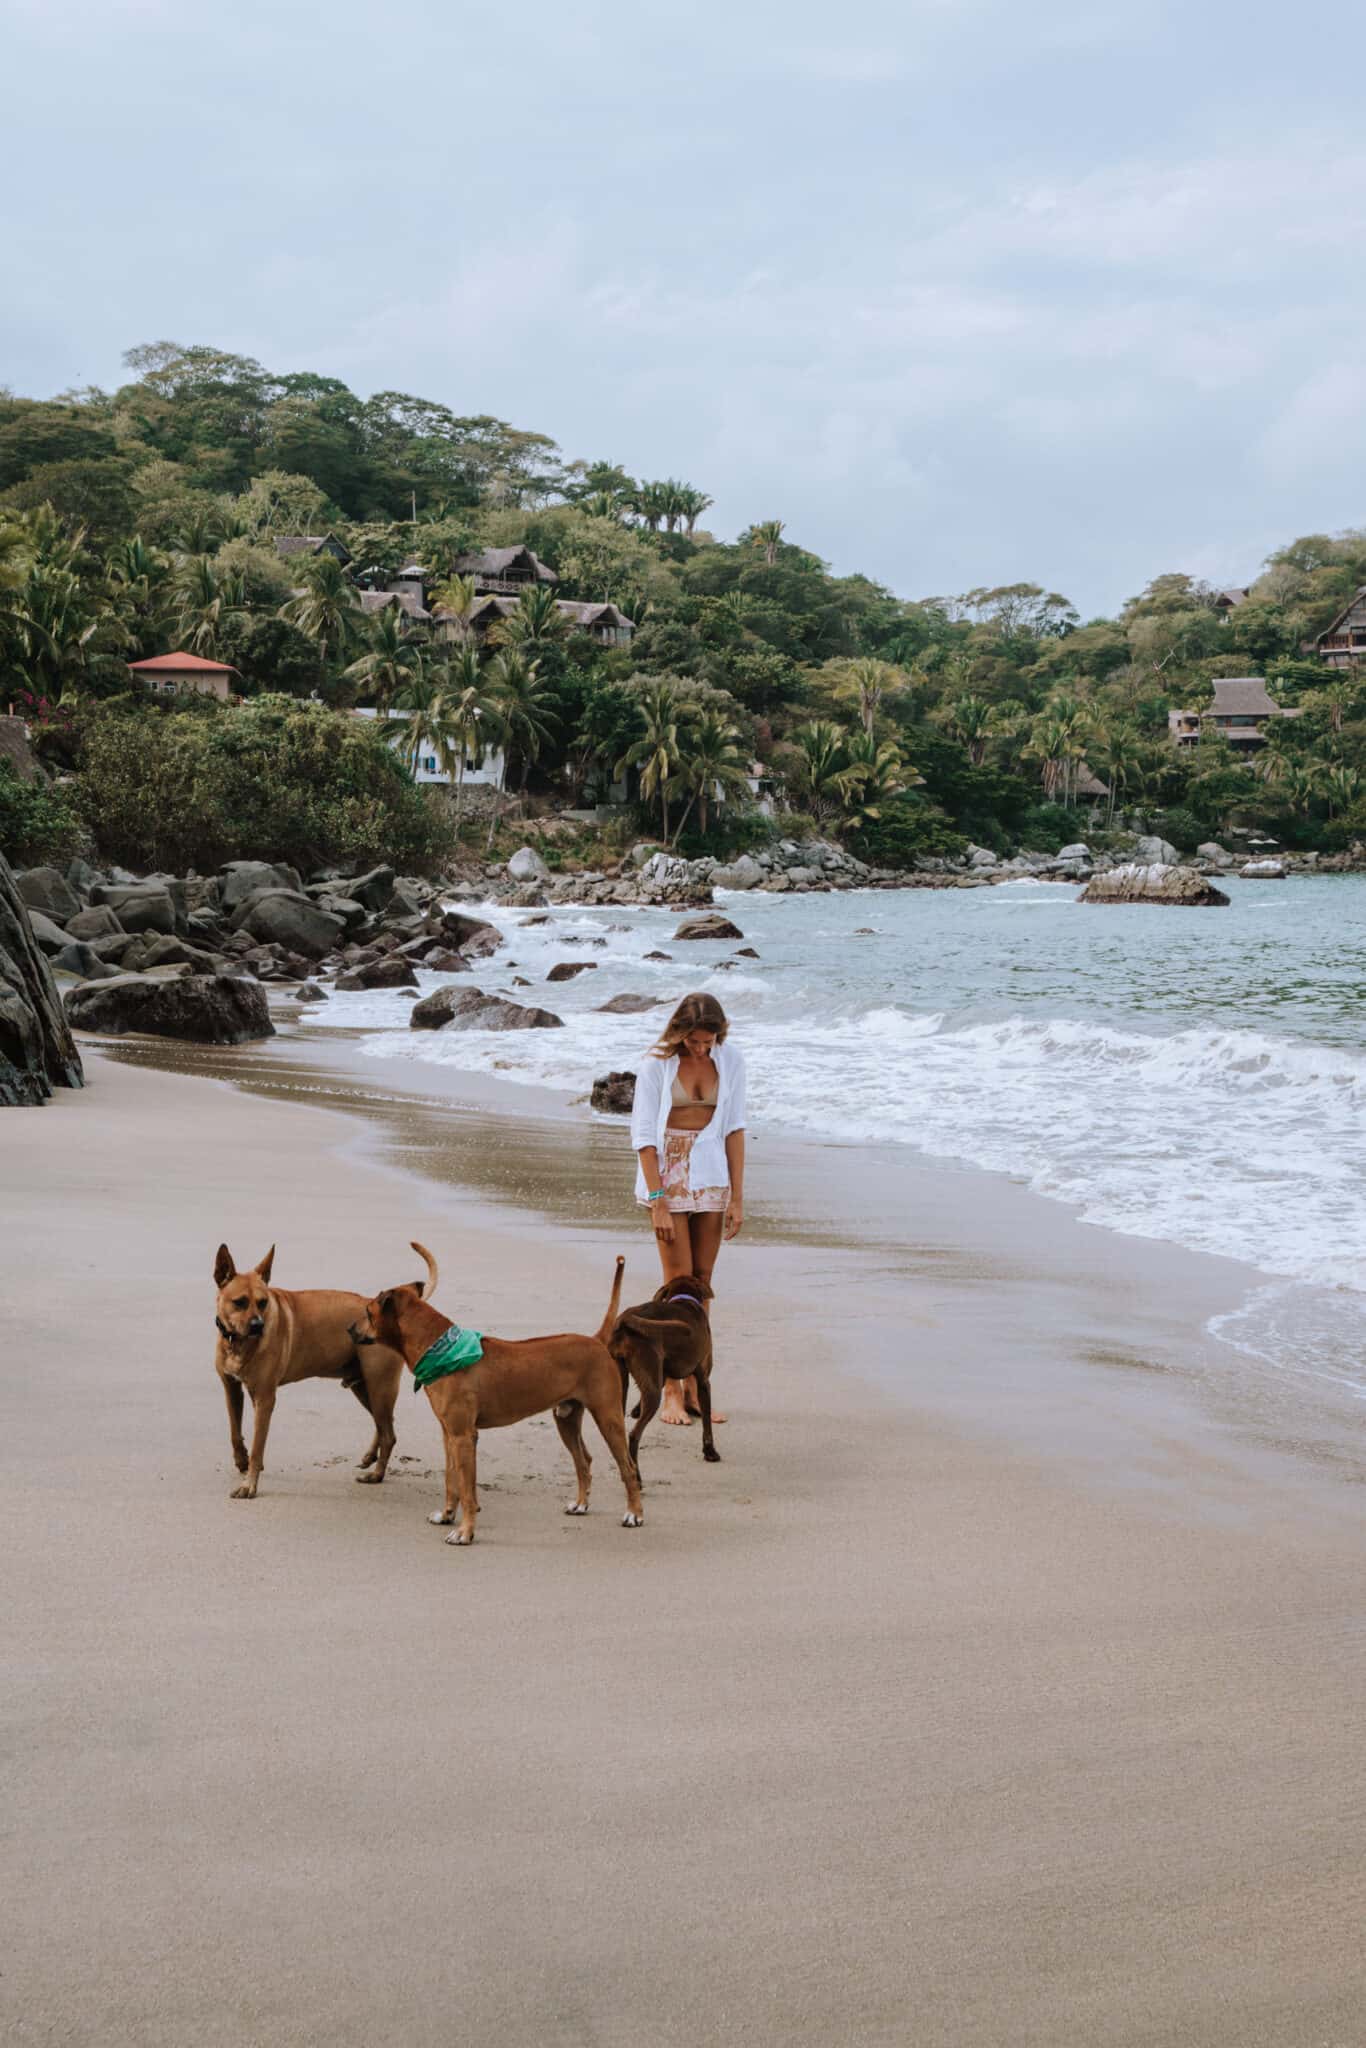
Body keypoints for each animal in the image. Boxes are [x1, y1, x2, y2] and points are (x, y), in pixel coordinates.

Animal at [214, 1236, 411, 1499]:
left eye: (263, 1303)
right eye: (239, 1302)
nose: (258, 1326)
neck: (236, 1342)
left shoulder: (264, 1399)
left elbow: (258, 1447)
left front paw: (250, 1484)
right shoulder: (231, 1388)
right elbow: (235, 1432)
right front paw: (241, 1461)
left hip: (380, 1387)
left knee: (388, 1434)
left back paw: (376, 1474)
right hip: (364, 1388)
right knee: (385, 1425)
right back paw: (371, 1457)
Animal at [348, 1236, 643, 1540]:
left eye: (368, 1312)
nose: (349, 1330)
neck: (438, 1346)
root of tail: (596, 1340)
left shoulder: (464, 1436)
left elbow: (468, 1490)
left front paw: (465, 1531)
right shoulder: (449, 1433)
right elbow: (451, 1479)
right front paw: (447, 1515)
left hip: (608, 1416)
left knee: (628, 1468)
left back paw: (634, 1514)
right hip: (567, 1418)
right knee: (583, 1461)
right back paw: (582, 1504)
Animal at [610, 1269, 720, 1466]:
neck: (684, 1298)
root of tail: (625, 1320)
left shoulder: (660, 1374)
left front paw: (636, 1409)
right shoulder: (703, 1381)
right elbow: (707, 1423)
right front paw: (710, 1451)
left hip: (622, 1379)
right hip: (653, 1391)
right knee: (634, 1434)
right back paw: (635, 1470)